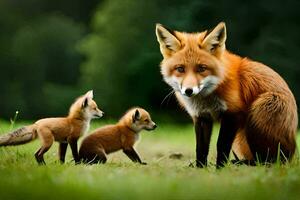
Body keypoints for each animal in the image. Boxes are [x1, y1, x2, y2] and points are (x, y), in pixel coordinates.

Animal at [156, 22, 296, 167]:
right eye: (180, 69)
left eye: (201, 68)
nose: (189, 90)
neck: (207, 99)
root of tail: (292, 151)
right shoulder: (201, 116)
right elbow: (201, 148)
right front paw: (201, 168)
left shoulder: (233, 114)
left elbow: (221, 145)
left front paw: (220, 167)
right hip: (239, 141)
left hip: (260, 109)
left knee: (268, 160)